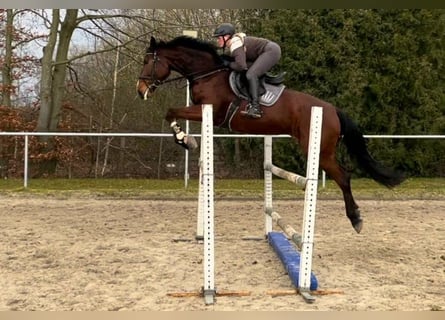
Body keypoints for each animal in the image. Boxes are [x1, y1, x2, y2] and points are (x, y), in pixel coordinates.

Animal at [137, 36, 404, 234]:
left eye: (147, 61)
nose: (140, 91)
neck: (208, 73)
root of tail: (332, 109)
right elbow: (171, 113)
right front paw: (186, 139)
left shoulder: (210, 112)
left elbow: (170, 111)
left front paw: (186, 140)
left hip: (321, 150)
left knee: (344, 177)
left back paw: (355, 218)